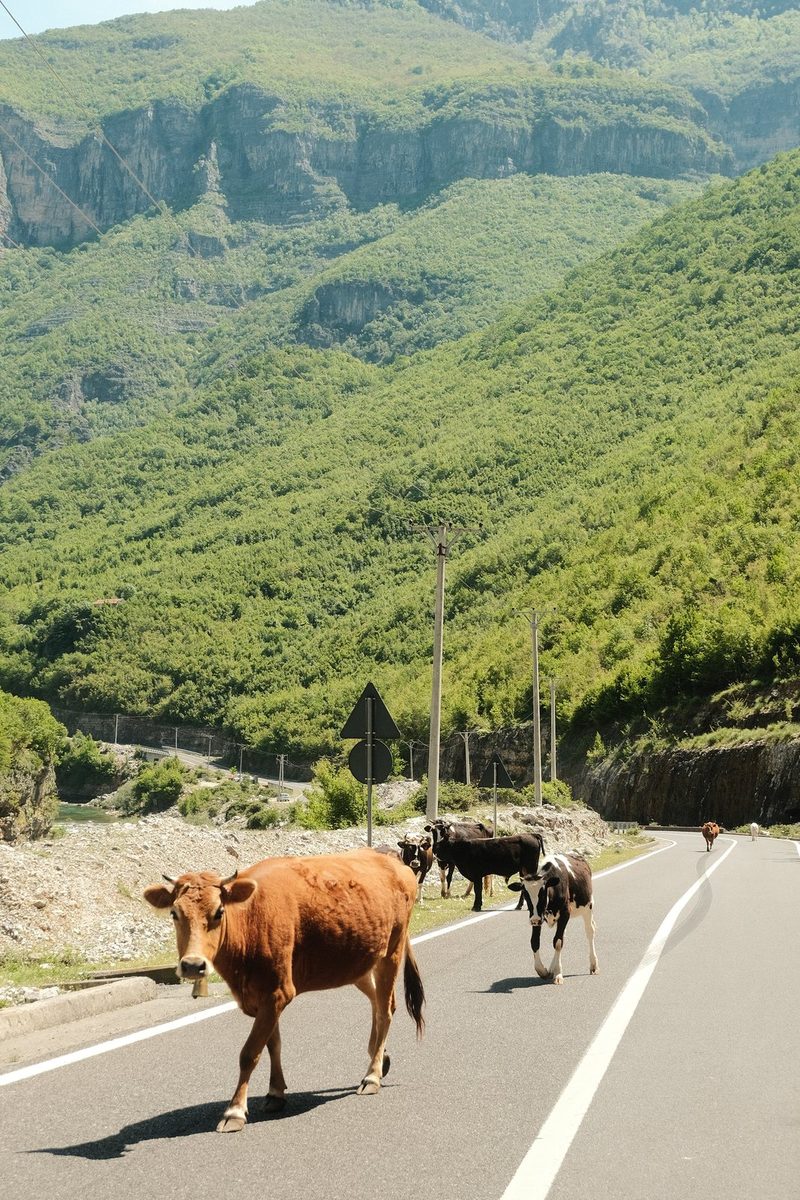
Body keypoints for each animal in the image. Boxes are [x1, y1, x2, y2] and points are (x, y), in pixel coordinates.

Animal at [143, 849, 425, 1132]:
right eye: (174, 913)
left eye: (219, 912)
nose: (193, 965)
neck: (249, 920)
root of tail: (391, 859)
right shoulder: (264, 996)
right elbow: (273, 1045)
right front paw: (275, 1092)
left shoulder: (277, 992)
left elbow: (250, 1053)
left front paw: (234, 1111)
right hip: (358, 963)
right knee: (379, 1002)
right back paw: (380, 1056)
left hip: (391, 951)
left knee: (385, 1010)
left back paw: (372, 1075)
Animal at [510, 852, 597, 985]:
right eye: (525, 893)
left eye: (543, 892)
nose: (534, 919)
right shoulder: (538, 917)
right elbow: (535, 942)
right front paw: (542, 971)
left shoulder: (565, 913)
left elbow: (558, 942)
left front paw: (558, 974)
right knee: (562, 935)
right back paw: (551, 969)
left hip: (588, 906)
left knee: (590, 931)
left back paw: (593, 965)